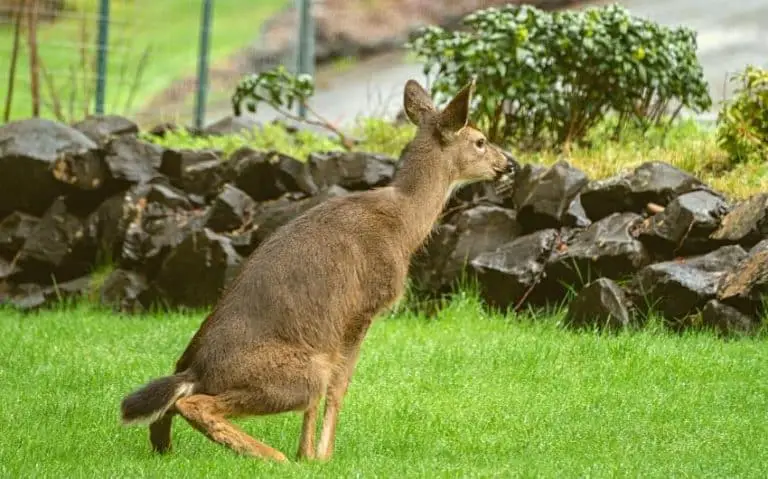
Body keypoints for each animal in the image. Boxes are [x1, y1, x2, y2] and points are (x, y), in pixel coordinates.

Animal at [120, 79, 512, 464]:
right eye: (480, 140)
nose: (509, 164)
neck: (404, 224)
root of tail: (195, 370)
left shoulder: (329, 329)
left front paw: (306, 453)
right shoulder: (364, 306)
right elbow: (340, 385)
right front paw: (323, 456)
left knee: (170, 410)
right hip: (300, 374)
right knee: (195, 404)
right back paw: (272, 456)